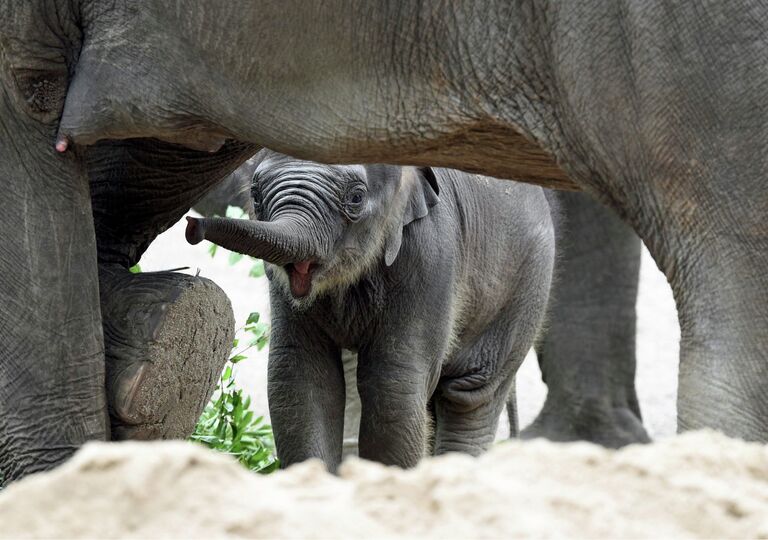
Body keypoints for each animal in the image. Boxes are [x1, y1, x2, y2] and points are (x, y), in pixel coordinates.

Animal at [188, 151, 556, 468]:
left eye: (356, 197)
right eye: (254, 192)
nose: (192, 227)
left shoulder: (431, 252)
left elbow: (392, 387)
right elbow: (300, 376)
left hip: (527, 285)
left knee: (469, 396)